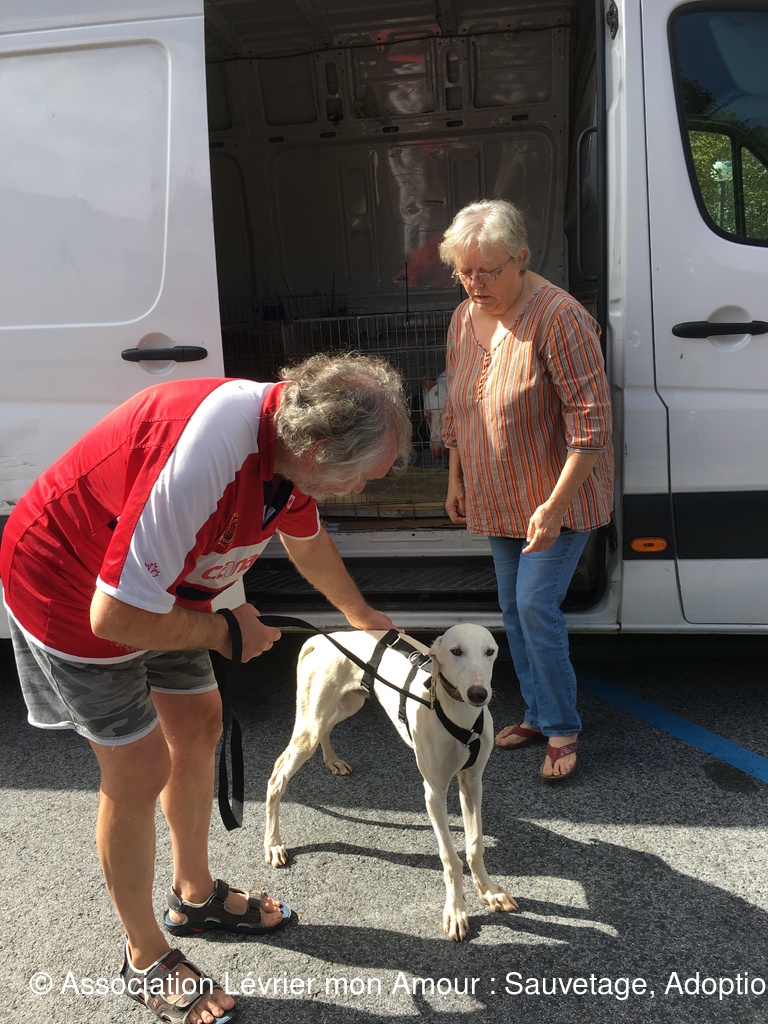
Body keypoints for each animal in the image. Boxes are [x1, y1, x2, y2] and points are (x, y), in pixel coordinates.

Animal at [264, 624, 518, 940]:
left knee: (321, 733)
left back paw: (332, 761)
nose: (479, 694)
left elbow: (475, 846)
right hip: (311, 725)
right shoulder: (434, 792)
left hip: (345, 705)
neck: (459, 715)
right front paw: (456, 910)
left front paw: (490, 891)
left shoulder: (471, 782)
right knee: (277, 777)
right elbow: (450, 857)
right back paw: (273, 844)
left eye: (490, 651)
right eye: (456, 651)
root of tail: (323, 638)